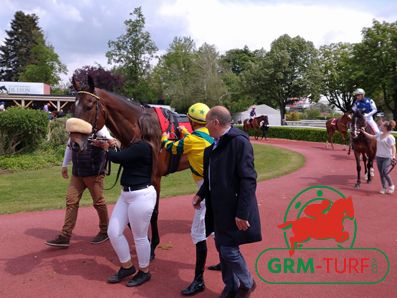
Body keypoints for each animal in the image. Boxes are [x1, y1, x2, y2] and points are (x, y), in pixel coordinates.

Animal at [70, 75, 190, 260]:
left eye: (89, 106)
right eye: (73, 107)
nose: (74, 144)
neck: (140, 128)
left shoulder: (154, 178)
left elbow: (153, 213)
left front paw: (152, 247)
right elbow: (130, 220)